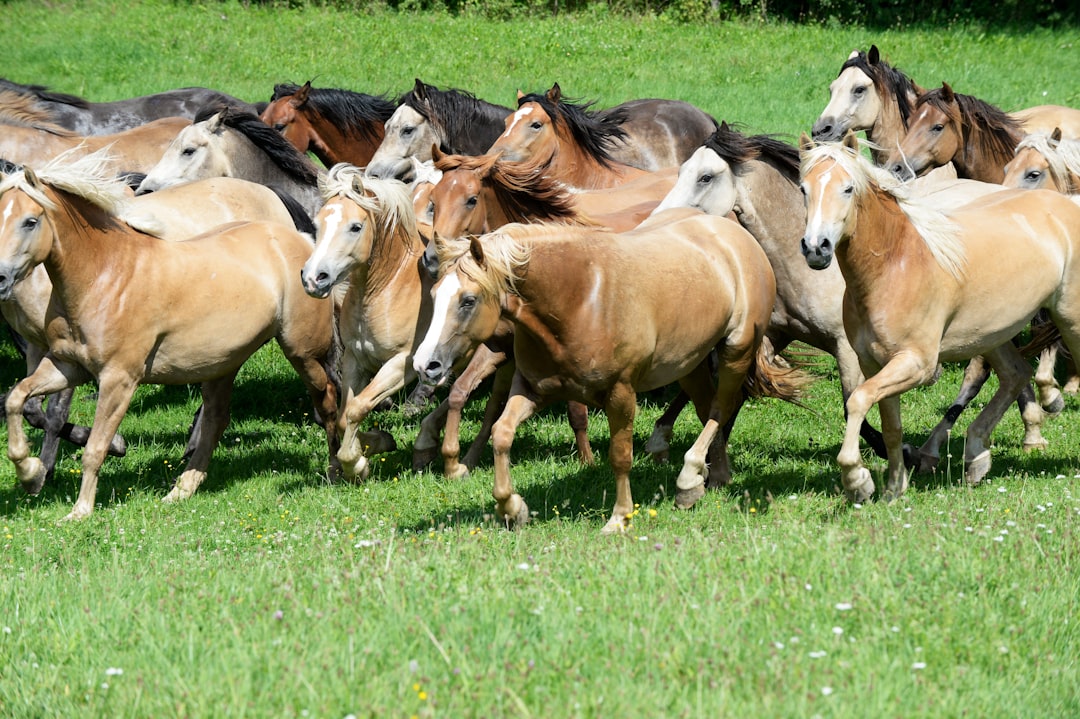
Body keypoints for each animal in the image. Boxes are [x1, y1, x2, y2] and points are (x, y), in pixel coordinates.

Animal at [0, 152, 340, 520]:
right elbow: (17, 399)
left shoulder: (119, 379)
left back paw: (342, 466)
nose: (0, 277)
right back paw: (181, 489)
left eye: (30, 221)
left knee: (329, 397)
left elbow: (95, 447)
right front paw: (30, 473)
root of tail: (302, 241)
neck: (105, 275)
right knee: (216, 420)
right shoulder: (65, 365)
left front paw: (80, 511)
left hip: (302, 352)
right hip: (222, 364)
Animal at [411, 212, 809, 532]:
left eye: (468, 300)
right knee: (708, 407)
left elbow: (620, 456)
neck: (581, 298)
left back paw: (688, 477)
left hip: (736, 350)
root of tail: (736, 235)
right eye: (433, 294)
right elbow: (502, 434)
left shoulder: (621, 394)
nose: (424, 364)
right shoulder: (533, 389)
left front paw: (619, 518)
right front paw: (512, 508)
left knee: (720, 408)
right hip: (691, 363)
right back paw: (709, 480)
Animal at [799, 131, 1080, 502]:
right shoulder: (876, 364)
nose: (816, 247)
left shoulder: (916, 364)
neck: (896, 265)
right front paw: (894, 488)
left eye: (847, 188)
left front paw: (857, 480)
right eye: (804, 188)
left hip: (1070, 321)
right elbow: (891, 425)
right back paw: (976, 458)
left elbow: (858, 401)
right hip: (992, 335)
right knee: (1016, 375)